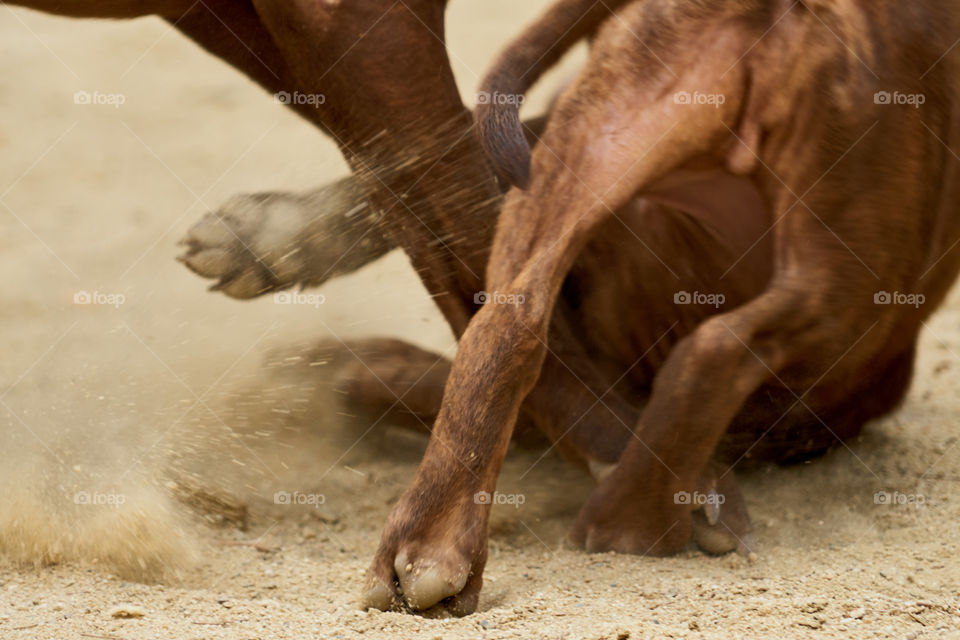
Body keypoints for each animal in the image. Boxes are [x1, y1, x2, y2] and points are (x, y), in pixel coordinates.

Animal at [358, 0, 960, 616]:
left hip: (585, 147)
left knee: (508, 323)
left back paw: (429, 546)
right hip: (855, 273)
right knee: (720, 348)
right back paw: (636, 524)